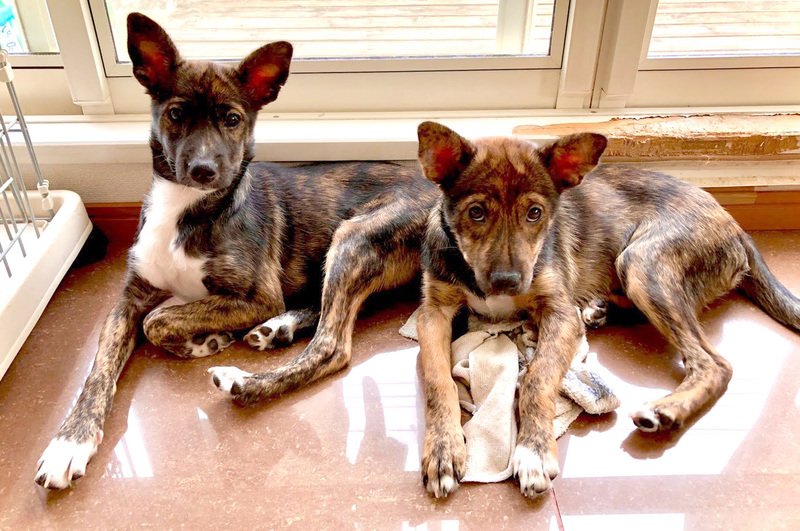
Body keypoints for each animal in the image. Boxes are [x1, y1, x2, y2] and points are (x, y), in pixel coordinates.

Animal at [34, 13, 438, 490]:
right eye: (175, 114)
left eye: (232, 119)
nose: (204, 170)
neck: (187, 207)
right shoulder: (128, 299)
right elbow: (99, 370)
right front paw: (70, 440)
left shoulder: (256, 296)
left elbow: (159, 321)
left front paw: (202, 342)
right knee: (326, 308)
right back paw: (278, 329)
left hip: (355, 237)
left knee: (331, 345)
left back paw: (246, 381)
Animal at [414, 121, 800, 498]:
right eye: (476, 213)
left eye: (534, 213)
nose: (506, 282)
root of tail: (736, 226)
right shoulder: (432, 312)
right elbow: (439, 380)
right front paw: (443, 449)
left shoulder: (560, 313)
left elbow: (538, 378)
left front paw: (533, 452)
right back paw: (600, 310)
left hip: (643, 261)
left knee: (715, 364)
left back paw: (664, 410)